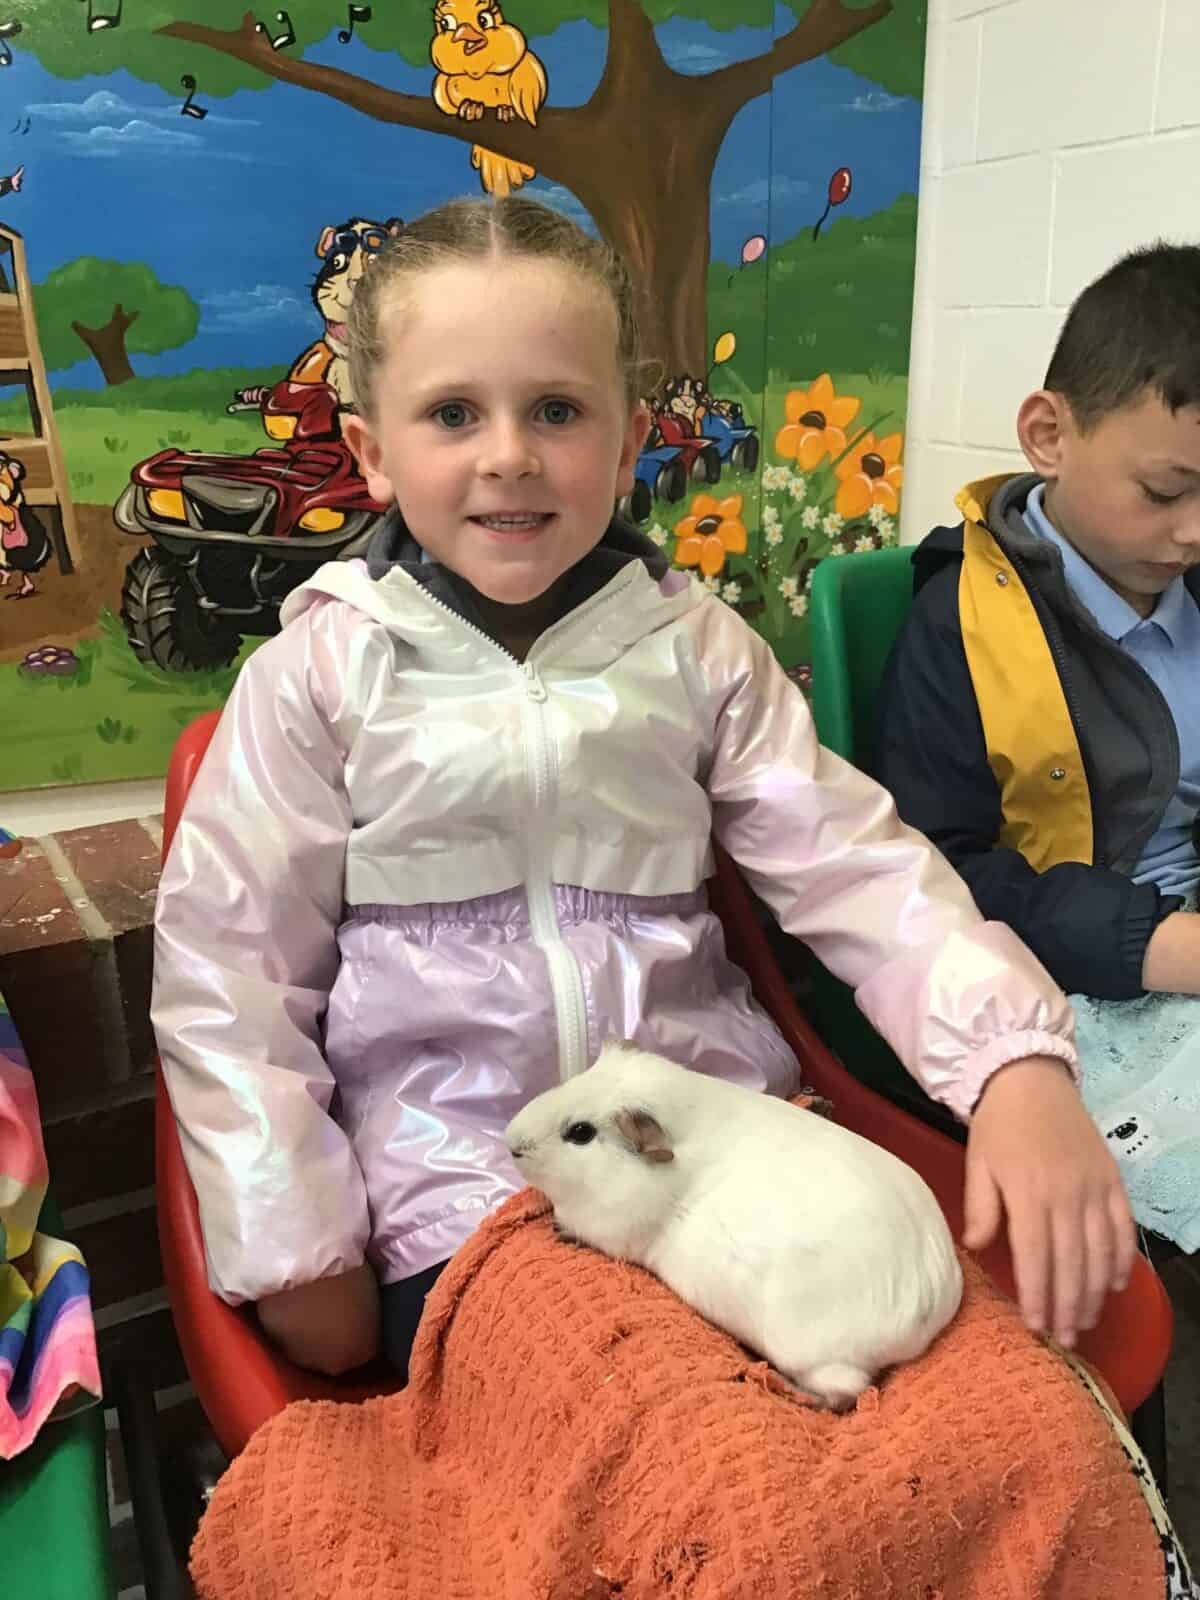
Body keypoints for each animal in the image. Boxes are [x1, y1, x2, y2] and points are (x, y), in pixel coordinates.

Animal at [505, 1041, 963, 1411]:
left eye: (580, 1133)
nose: (511, 1142)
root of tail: (928, 1312)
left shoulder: (613, 1230)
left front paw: (560, 1231)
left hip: (813, 1355)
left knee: (844, 1394)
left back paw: (778, 1383)